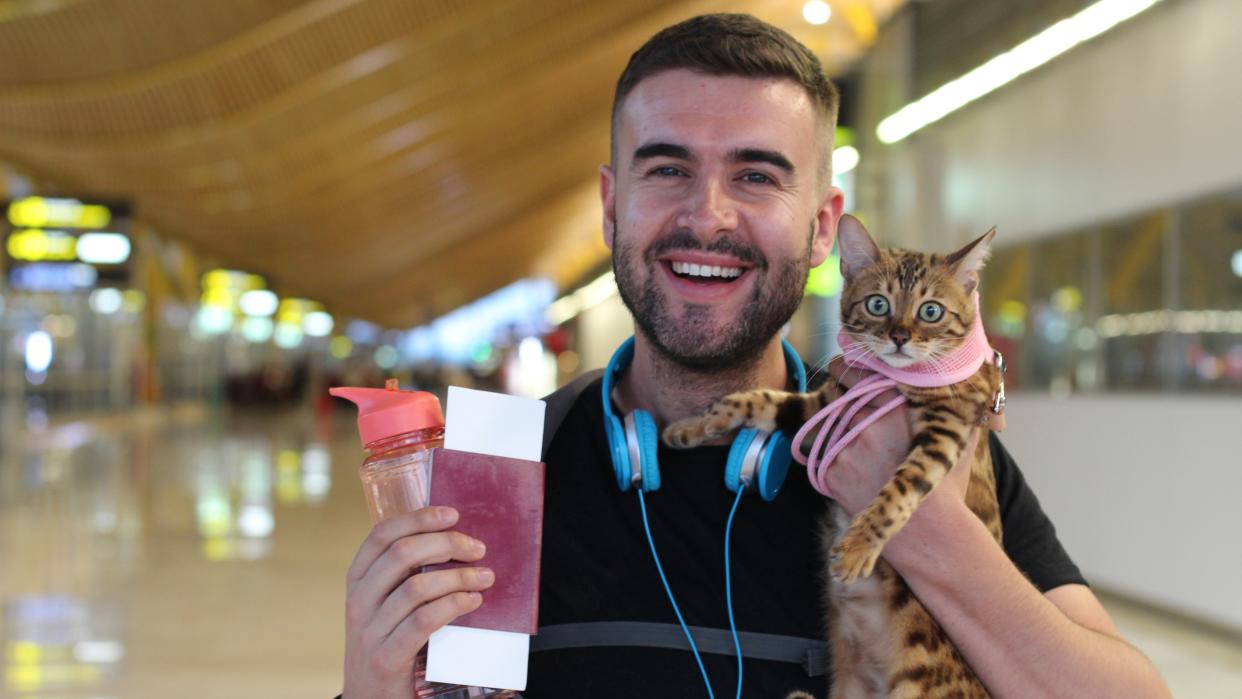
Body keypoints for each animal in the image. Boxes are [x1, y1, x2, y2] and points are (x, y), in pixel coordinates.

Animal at [665, 214, 1003, 699]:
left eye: (931, 311)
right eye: (878, 304)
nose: (899, 337)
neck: (890, 378)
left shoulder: (949, 427)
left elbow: (903, 486)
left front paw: (859, 545)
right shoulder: (821, 408)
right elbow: (758, 400)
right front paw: (691, 426)